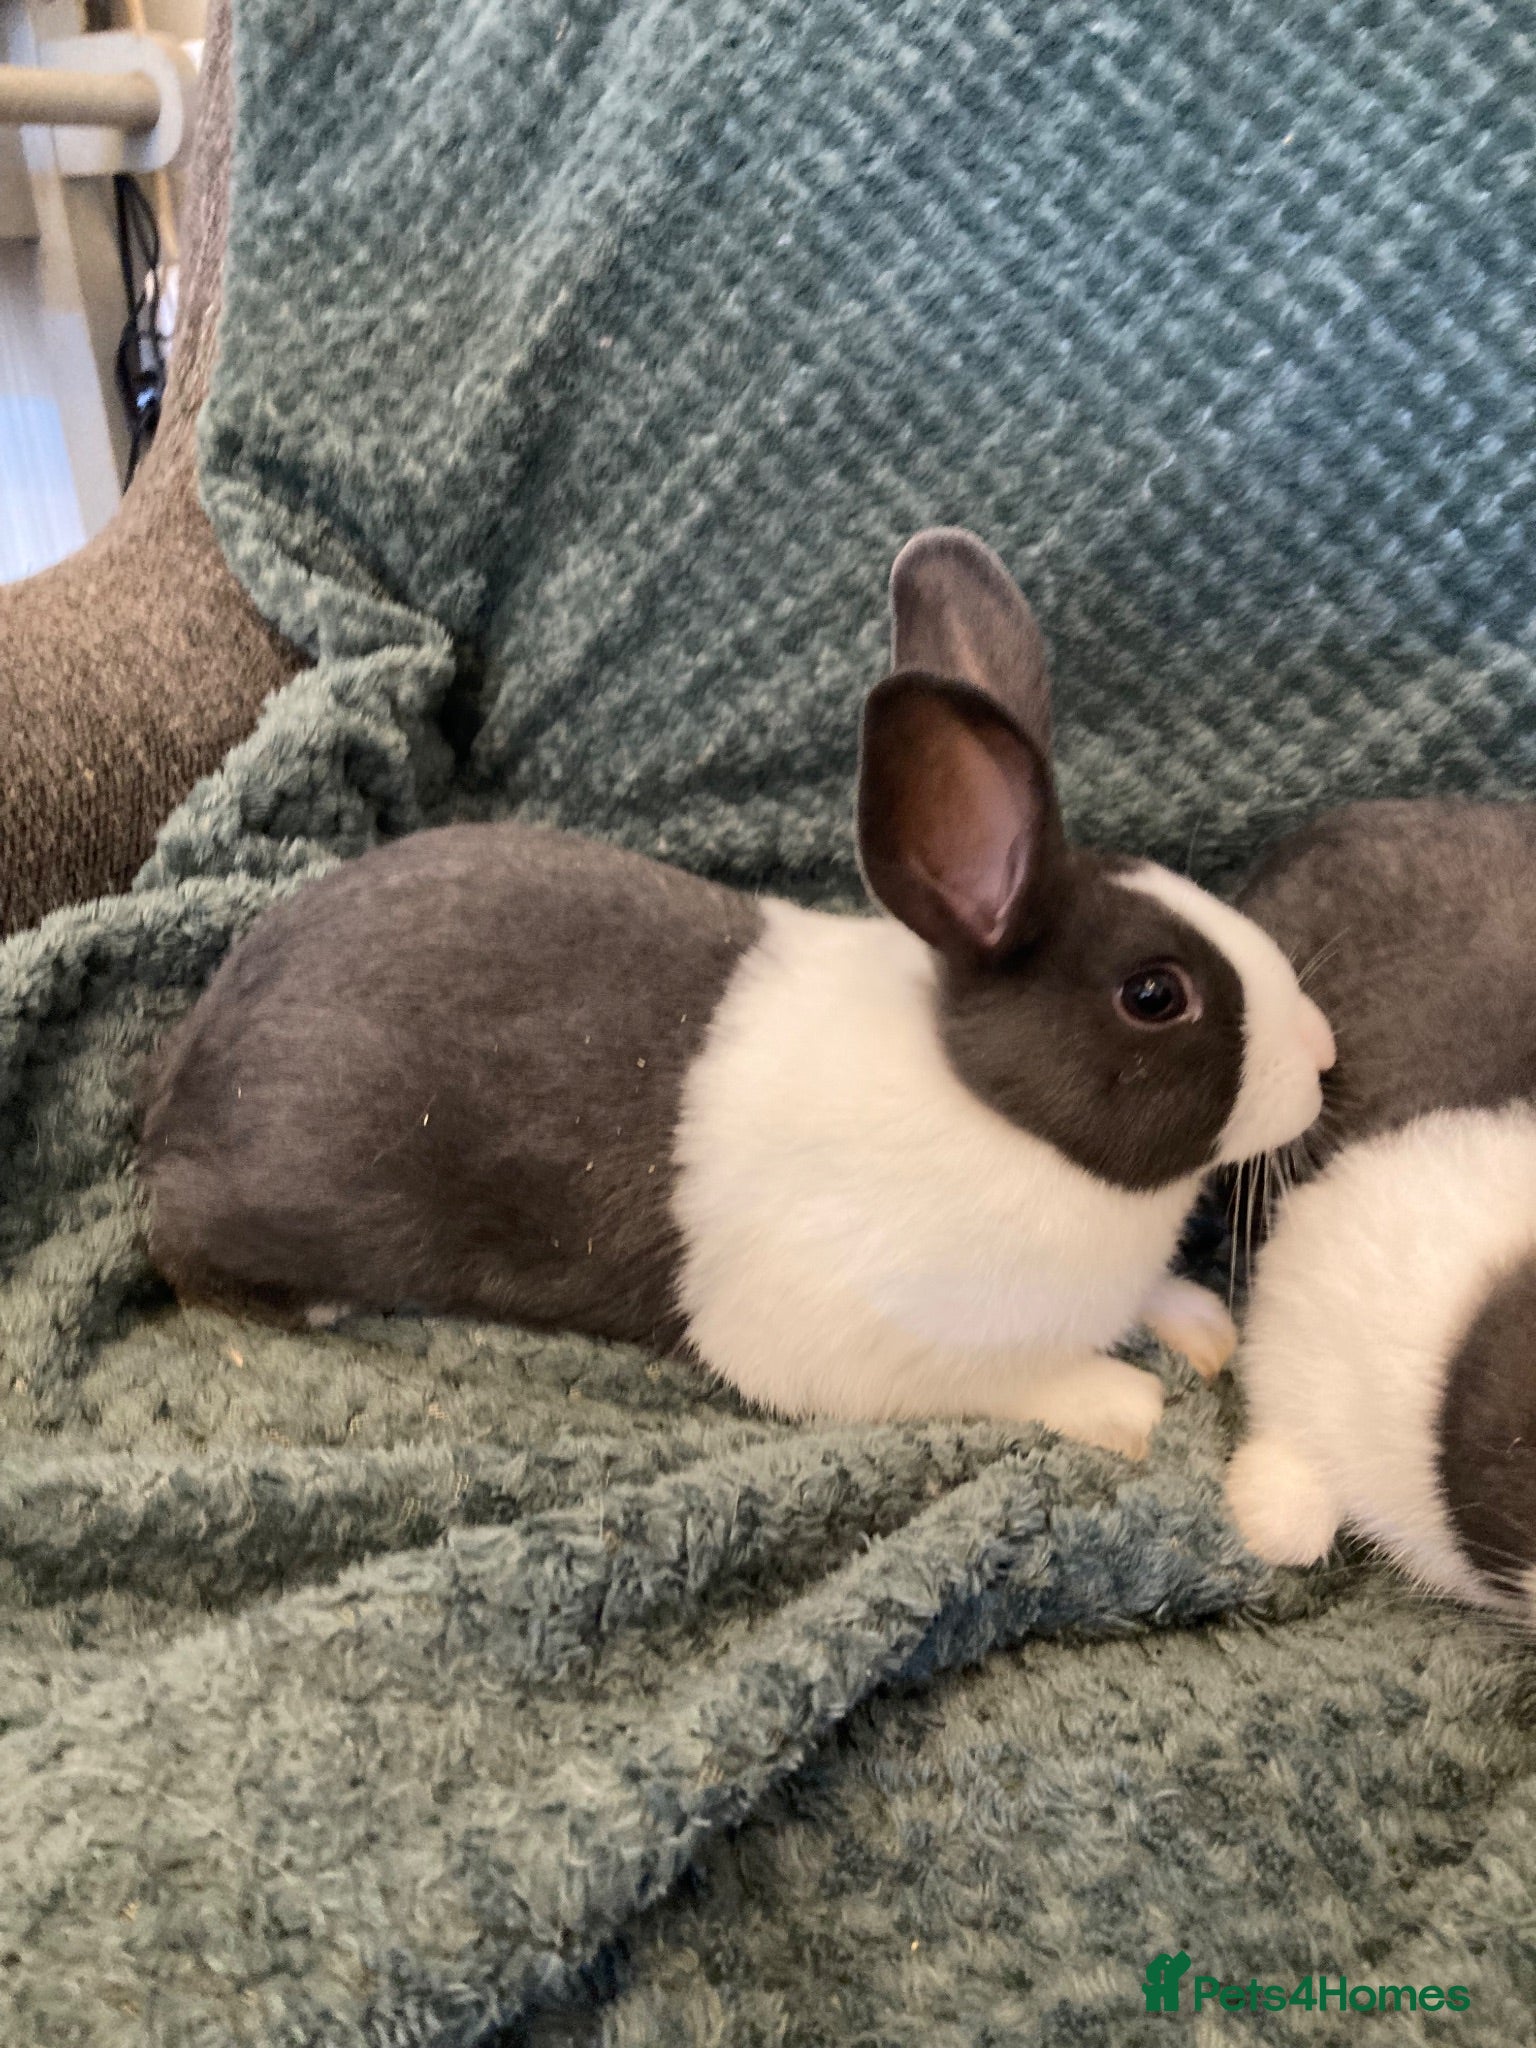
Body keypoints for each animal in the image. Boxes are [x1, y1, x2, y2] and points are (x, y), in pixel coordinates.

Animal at [139, 529, 1334, 1458]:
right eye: (1154, 994)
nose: (1324, 1057)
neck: (998, 1114)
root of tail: (183, 1079)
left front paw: (1202, 1325)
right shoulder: (851, 1343)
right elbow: (1011, 1376)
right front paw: (1124, 1401)